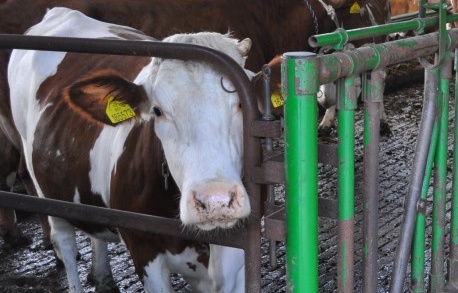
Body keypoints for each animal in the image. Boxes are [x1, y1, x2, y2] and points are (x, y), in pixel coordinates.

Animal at [7, 7, 252, 292]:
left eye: (242, 103)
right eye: (157, 111)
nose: (215, 200)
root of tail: (59, 12)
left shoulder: (237, 266)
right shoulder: (144, 251)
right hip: (46, 189)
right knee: (64, 243)